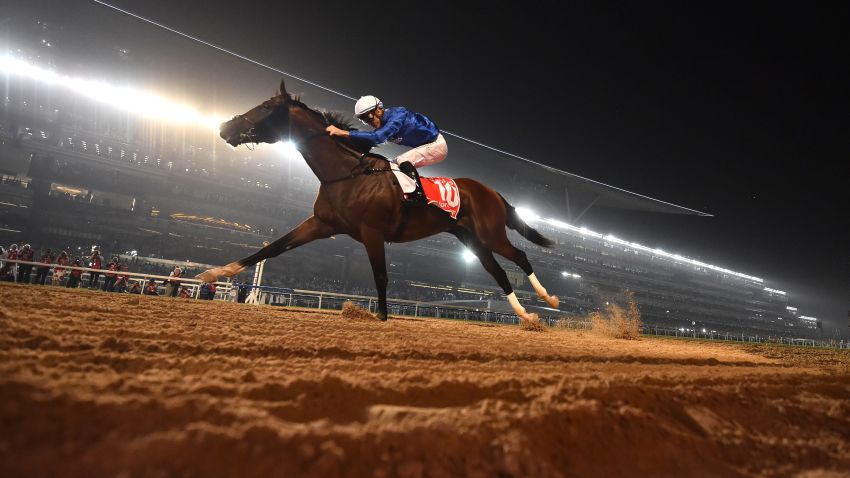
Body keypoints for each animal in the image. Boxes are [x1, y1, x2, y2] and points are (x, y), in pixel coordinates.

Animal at [195, 80, 560, 324]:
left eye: (267, 108)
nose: (225, 127)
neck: (347, 174)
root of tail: (492, 191)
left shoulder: (372, 233)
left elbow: (381, 276)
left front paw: (382, 318)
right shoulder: (321, 224)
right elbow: (272, 248)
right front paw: (215, 272)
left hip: (490, 233)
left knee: (520, 256)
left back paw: (548, 298)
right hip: (470, 238)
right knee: (496, 271)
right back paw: (526, 315)